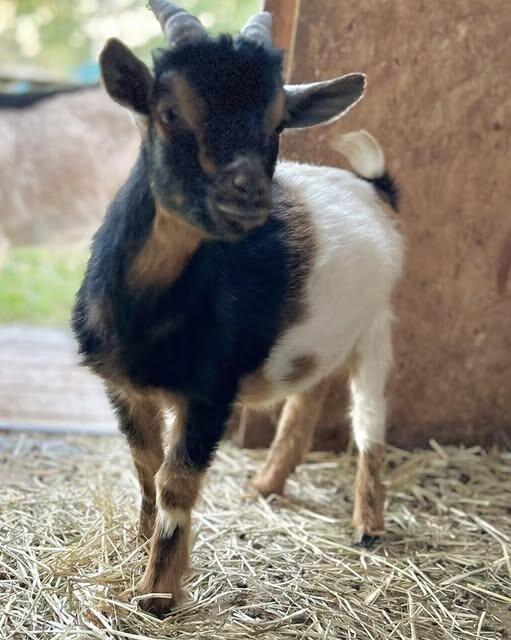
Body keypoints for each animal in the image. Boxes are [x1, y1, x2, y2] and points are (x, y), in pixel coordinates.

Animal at [72, 1, 404, 615]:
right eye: (169, 111)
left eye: (278, 124)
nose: (247, 193)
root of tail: (376, 189)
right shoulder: (123, 386)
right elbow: (144, 465)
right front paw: (139, 545)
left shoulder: (211, 390)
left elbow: (175, 481)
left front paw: (156, 593)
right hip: (325, 335)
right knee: (308, 395)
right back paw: (267, 484)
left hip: (378, 327)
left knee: (370, 420)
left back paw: (368, 526)